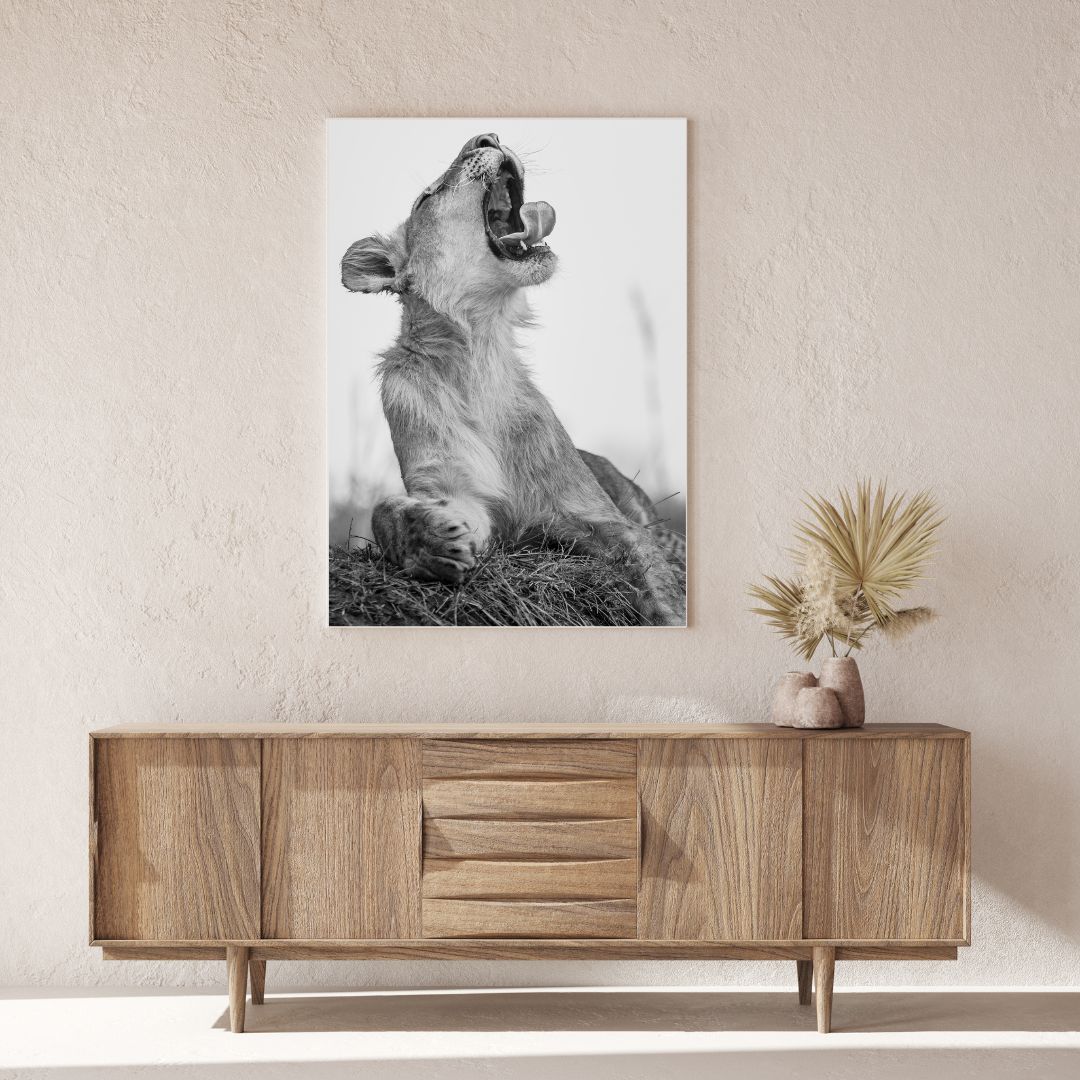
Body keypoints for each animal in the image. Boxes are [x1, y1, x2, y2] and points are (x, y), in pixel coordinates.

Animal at [341, 133, 686, 626]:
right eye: (428, 196)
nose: (487, 137)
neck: (481, 353)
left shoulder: (598, 516)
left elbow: (657, 588)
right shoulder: (458, 493)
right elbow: (384, 511)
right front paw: (429, 541)